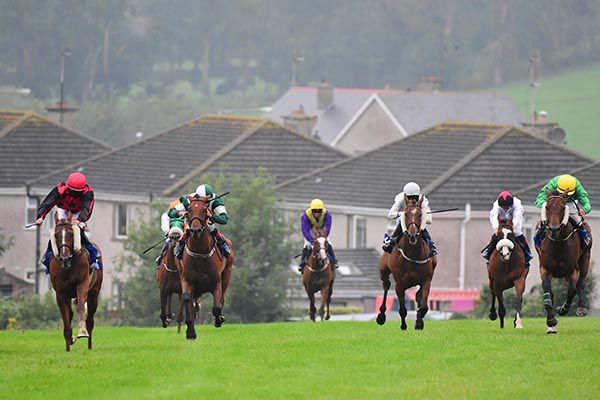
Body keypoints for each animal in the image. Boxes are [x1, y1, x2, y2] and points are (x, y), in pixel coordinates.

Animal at [49, 212, 103, 351]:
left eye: (71, 234)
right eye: (56, 235)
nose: (65, 258)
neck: (68, 266)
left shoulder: (82, 284)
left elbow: (80, 306)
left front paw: (82, 332)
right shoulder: (60, 292)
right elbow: (65, 315)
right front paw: (69, 343)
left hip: (94, 293)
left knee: (90, 320)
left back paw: (89, 345)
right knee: (70, 312)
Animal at [179, 195, 234, 340]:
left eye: (205, 210)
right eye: (189, 210)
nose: (195, 230)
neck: (199, 253)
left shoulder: (216, 283)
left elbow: (216, 307)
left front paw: (219, 320)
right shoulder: (187, 280)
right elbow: (186, 299)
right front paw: (190, 332)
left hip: (227, 274)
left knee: (222, 298)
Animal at [376, 195, 436, 330]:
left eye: (420, 214)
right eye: (407, 214)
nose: (412, 235)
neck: (413, 253)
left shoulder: (426, 280)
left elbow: (423, 307)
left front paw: (419, 322)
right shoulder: (399, 283)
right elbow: (403, 309)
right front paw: (404, 325)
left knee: (418, 295)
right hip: (384, 272)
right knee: (386, 286)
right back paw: (381, 316)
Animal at [535, 189, 592, 334]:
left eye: (562, 208)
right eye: (547, 207)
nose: (554, 229)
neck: (558, 243)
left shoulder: (572, 270)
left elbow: (572, 290)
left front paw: (562, 309)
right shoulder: (545, 268)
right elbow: (547, 291)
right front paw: (551, 321)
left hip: (585, 259)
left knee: (580, 283)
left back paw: (581, 307)